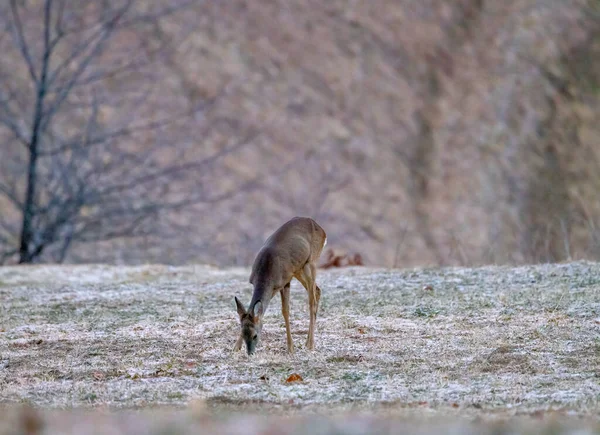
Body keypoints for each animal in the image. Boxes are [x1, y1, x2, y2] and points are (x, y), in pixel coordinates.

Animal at [234, 216, 328, 356]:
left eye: (255, 335)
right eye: (243, 333)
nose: (250, 352)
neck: (265, 274)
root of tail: (322, 230)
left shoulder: (284, 282)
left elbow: (285, 311)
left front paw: (290, 348)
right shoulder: (273, 287)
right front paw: (236, 347)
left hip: (310, 262)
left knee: (312, 301)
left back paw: (310, 344)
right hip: (299, 268)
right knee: (317, 290)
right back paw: (307, 341)